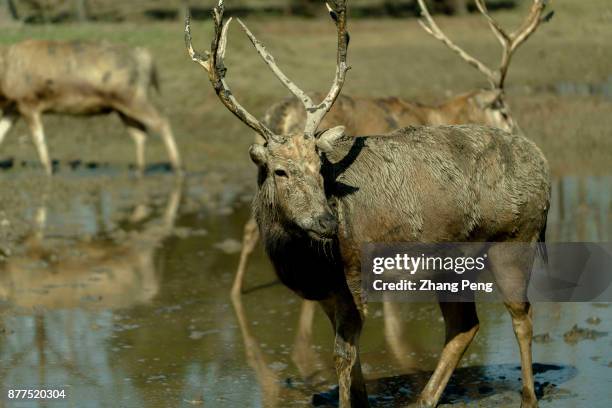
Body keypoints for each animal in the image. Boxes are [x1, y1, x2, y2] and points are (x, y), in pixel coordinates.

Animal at [0, 39, 182, 175]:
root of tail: (145, 57)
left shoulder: (27, 101)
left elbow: (39, 139)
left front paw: (48, 170)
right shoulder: (13, 108)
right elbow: (2, 133)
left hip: (133, 97)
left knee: (161, 121)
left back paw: (177, 167)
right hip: (123, 105)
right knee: (139, 133)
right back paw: (139, 169)